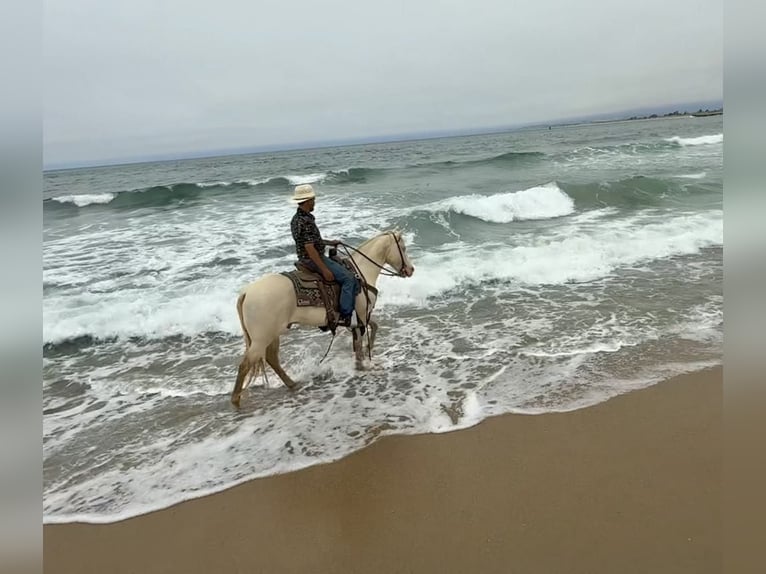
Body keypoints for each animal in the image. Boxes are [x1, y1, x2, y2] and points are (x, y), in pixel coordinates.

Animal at [231, 230, 415, 406]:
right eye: (403, 248)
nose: (411, 270)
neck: (361, 271)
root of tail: (246, 292)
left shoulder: (359, 318)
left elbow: (373, 328)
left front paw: (366, 352)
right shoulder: (361, 317)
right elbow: (360, 345)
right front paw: (363, 364)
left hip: (273, 334)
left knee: (271, 358)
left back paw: (292, 384)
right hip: (261, 339)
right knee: (245, 365)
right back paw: (236, 400)